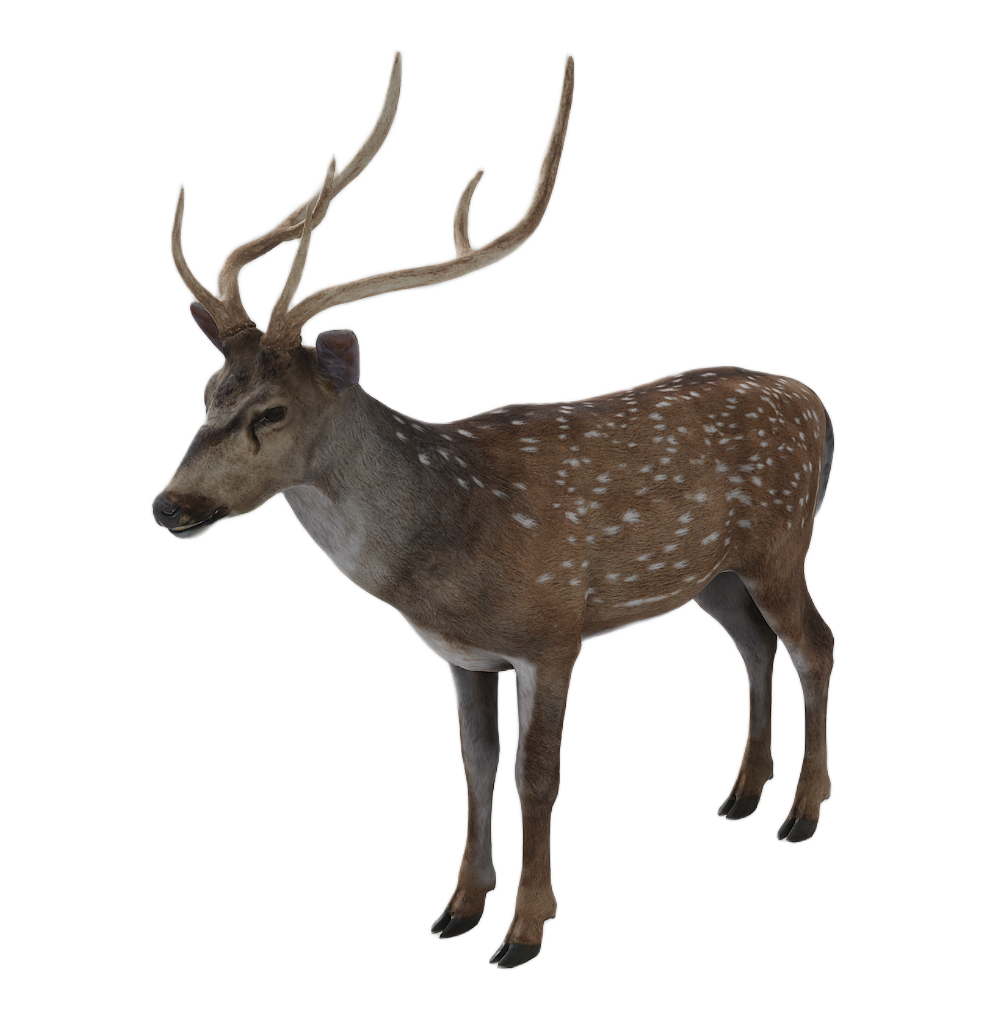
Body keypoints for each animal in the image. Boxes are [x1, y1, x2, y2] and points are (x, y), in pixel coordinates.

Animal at [152, 49, 836, 970]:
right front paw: (458, 907)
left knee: (814, 644)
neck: (443, 548)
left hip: (780, 544)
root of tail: (815, 402)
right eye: (206, 394)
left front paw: (525, 928)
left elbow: (536, 775)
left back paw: (800, 813)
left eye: (273, 412)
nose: (170, 506)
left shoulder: (553, 630)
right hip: (712, 573)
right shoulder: (461, 652)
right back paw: (741, 793)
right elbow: (474, 765)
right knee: (755, 646)